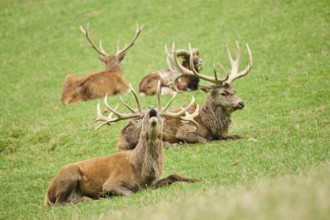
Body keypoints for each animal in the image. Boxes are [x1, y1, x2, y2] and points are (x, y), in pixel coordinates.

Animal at [44, 83, 199, 205]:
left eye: (161, 115)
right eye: (142, 116)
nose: (152, 108)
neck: (141, 170)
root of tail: (47, 195)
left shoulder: (153, 182)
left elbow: (174, 175)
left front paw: (197, 179)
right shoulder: (111, 182)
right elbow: (132, 192)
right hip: (69, 174)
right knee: (60, 202)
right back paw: (89, 199)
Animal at [118, 41, 253, 151]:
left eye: (234, 90)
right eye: (223, 93)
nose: (241, 103)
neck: (210, 123)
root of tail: (120, 139)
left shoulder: (222, 135)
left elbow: (237, 136)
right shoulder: (185, 130)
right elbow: (205, 140)